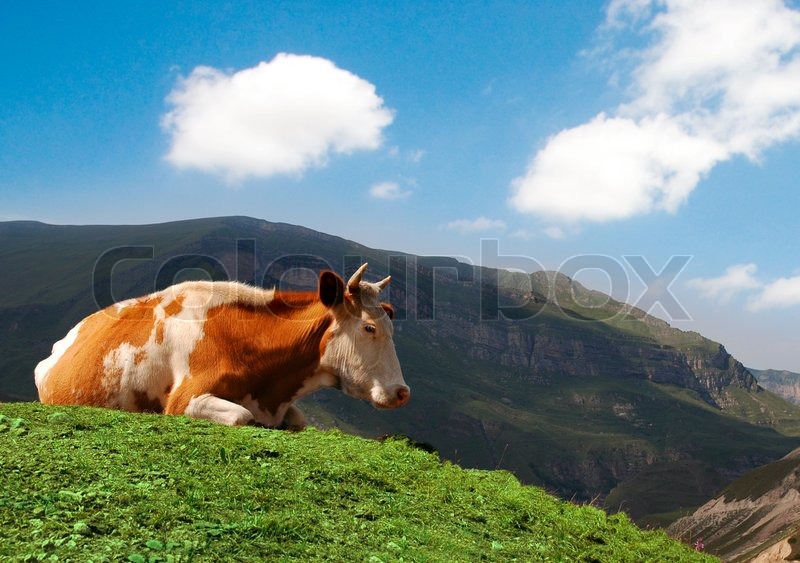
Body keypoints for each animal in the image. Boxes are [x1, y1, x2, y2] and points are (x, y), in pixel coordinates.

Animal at [34, 263, 410, 428]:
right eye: (369, 327)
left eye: (393, 327)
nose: (402, 392)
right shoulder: (184, 399)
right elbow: (241, 417)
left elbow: (300, 421)